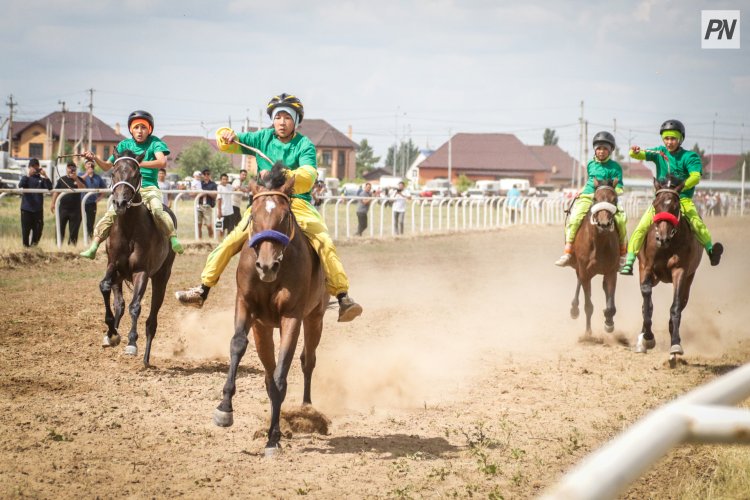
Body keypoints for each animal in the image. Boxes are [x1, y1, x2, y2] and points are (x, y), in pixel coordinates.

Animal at [99, 149, 177, 368]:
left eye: (136, 174)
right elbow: (105, 287)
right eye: (114, 172)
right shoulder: (113, 265)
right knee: (119, 303)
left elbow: (135, 307)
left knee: (152, 319)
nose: (120, 203)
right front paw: (112, 334)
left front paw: (131, 343)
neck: (129, 228)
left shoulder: (141, 271)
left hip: (161, 276)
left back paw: (146, 358)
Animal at [212, 162, 328, 456]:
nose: (266, 265)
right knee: (268, 371)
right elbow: (238, 345)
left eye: (285, 215)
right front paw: (224, 408)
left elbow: (281, 374)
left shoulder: (292, 316)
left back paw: (306, 410)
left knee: (308, 360)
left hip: (315, 317)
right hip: (263, 328)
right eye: (253, 215)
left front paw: (274, 437)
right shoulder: (246, 307)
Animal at [568, 178, 624, 338]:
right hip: (578, 266)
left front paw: (609, 322)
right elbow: (588, 305)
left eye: (614, 199)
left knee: (604, 287)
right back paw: (574, 309)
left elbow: (611, 305)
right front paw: (588, 333)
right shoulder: (585, 271)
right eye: (595, 198)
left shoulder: (611, 271)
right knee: (579, 281)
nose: (603, 224)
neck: (599, 243)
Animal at [636, 178, 704, 366]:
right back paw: (642, 339)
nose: (662, 238)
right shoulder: (646, 267)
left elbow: (675, 307)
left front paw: (675, 345)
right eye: (655, 204)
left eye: (675, 206)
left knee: (681, 303)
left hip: (689, 277)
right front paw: (648, 337)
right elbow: (646, 297)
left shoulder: (680, 271)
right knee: (647, 302)